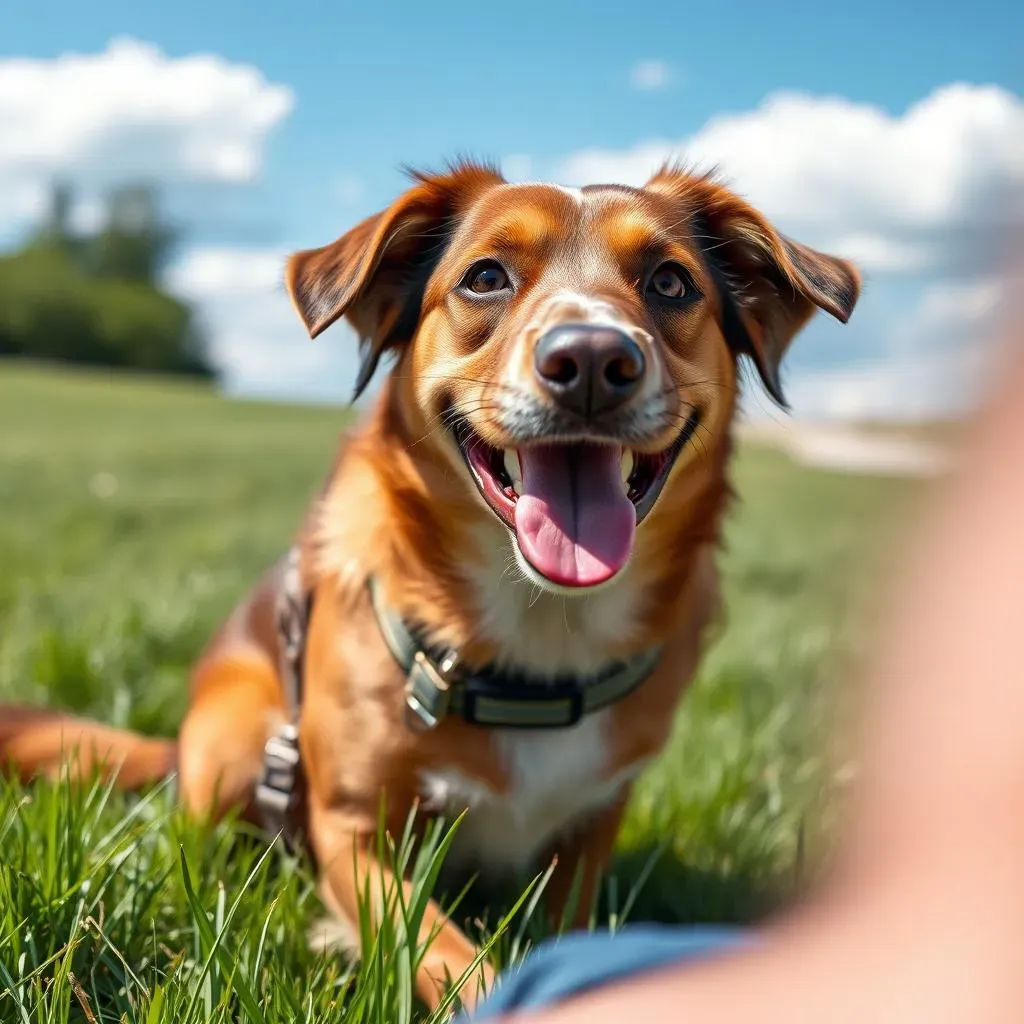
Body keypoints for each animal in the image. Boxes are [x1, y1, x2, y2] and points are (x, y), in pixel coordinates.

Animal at [0, 159, 860, 1007]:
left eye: (671, 282)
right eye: (485, 277)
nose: (590, 359)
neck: (542, 636)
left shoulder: (592, 827)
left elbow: (568, 935)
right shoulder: (349, 829)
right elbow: (455, 959)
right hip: (239, 735)